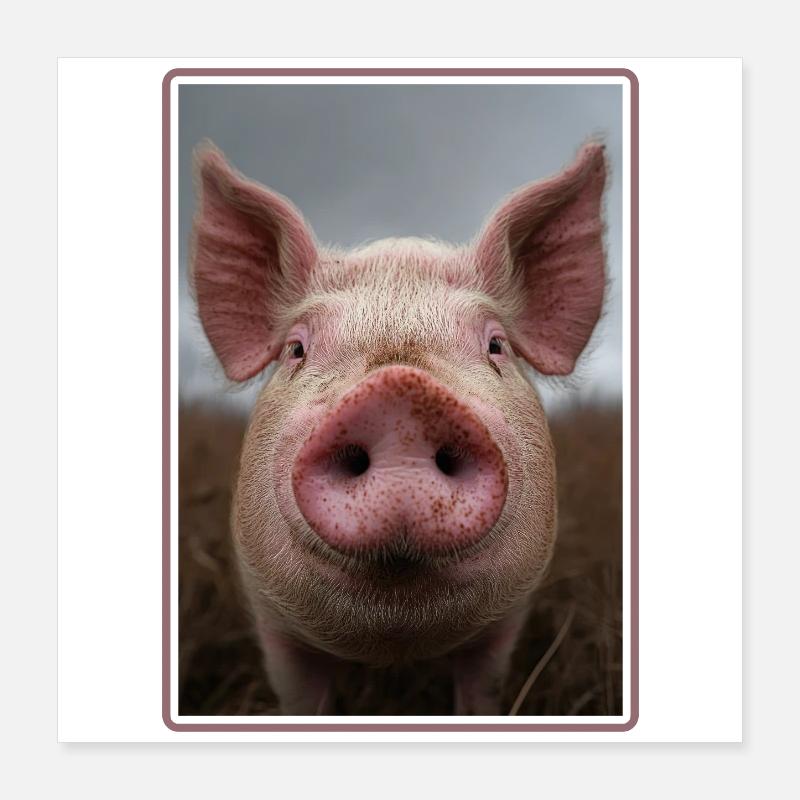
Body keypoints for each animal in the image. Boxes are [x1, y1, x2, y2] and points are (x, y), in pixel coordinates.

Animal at [189, 140, 607, 715]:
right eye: (296, 349)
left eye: (496, 345)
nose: (400, 393)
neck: (395, 644)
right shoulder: (273, 622)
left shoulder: (506, 623)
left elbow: (482, 692)